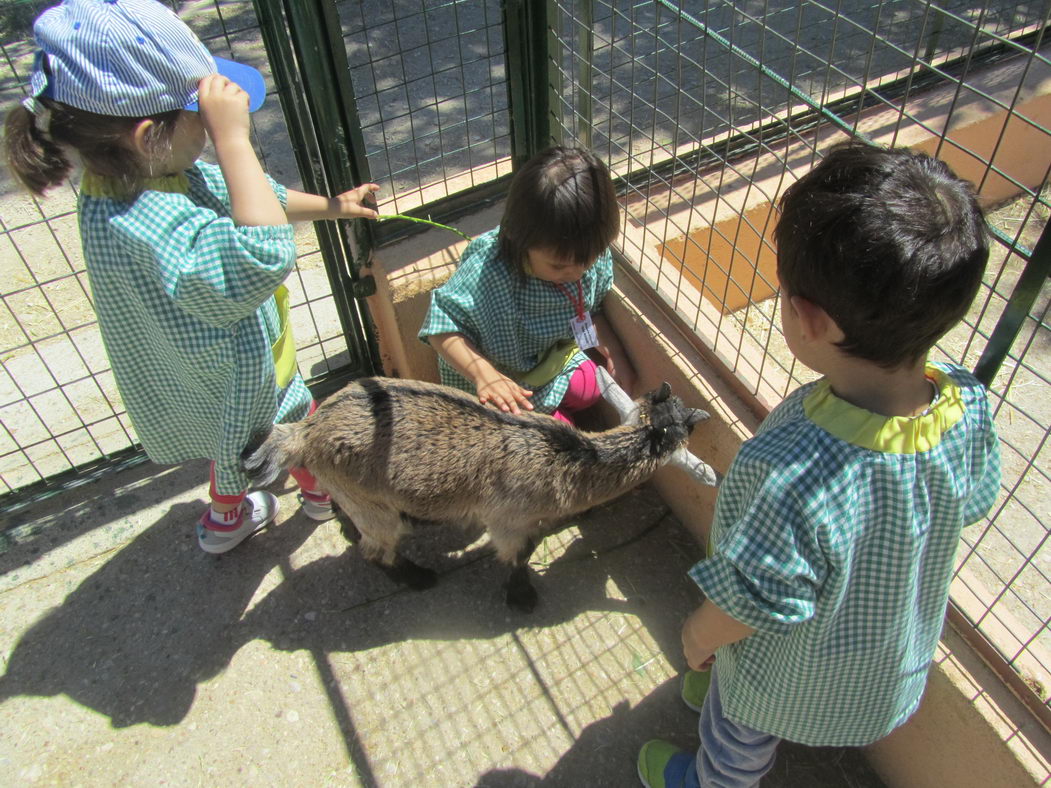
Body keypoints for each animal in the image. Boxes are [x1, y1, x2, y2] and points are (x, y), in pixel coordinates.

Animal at [241, 374, 710, 609]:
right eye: (689, 432)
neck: (567, 457)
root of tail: (306, 429)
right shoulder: (507, 519)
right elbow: (520, 552)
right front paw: (521, 597)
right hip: (367, 499)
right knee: (377, 549)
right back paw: (418, 577)